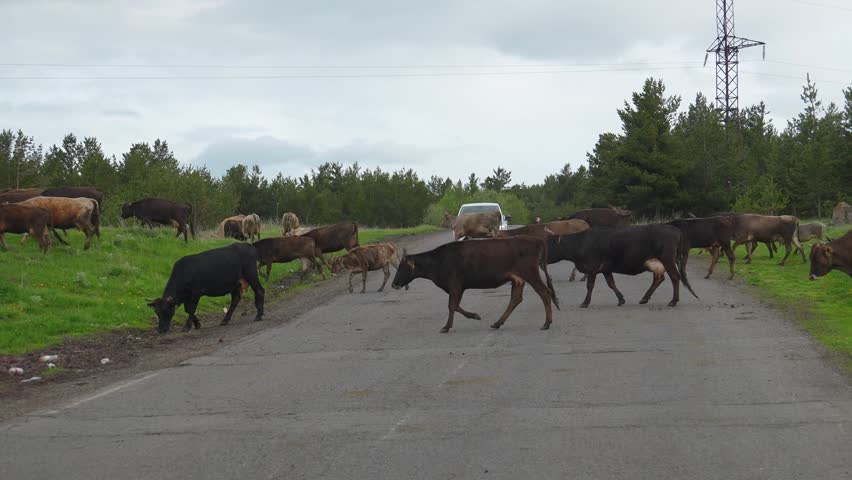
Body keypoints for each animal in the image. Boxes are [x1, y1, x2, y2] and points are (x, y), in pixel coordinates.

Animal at [391, 236, 559, 333]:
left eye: (402, 267)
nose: (394, 284)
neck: (439, 260)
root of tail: (536, 240)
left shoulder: (455, 284)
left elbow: (452, 305)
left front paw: (447, 326)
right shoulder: (457, 287)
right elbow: (455, 305)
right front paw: (471, 317)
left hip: (530, 273)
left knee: (544, 293)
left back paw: (547, 323)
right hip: (518, 279)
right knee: (516, 299)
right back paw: (497, 323)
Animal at [548, 225, 698, 308]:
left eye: (549, 245)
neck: (581, 242)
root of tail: (674, 229)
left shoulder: (592, 268)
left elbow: (590, 286)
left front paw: (585, 303)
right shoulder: (605, 269)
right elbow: (611, 284)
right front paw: (621, 299)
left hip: (667, 259)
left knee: (674, 277)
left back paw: (673, 301)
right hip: (656, 262)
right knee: (659, 278)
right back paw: (645, 298)